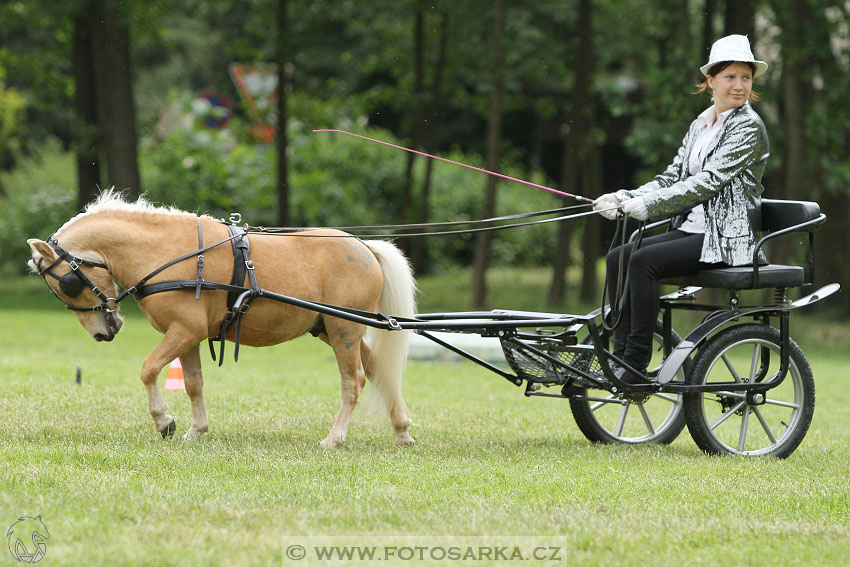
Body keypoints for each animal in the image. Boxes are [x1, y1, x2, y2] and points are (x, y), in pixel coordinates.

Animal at [29, 191, 418, 448]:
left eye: (67, 284)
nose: (103, 333)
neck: (166, 252)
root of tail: (365, 247)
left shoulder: (185, 330)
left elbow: (148, 369)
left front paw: (164, 421)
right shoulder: (187, 335)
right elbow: (193, 383)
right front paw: (195, 430)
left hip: (344, 328)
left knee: (354, 381)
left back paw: (335, 438)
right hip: (331, 327)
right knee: (380, 371)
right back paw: (401, 429)